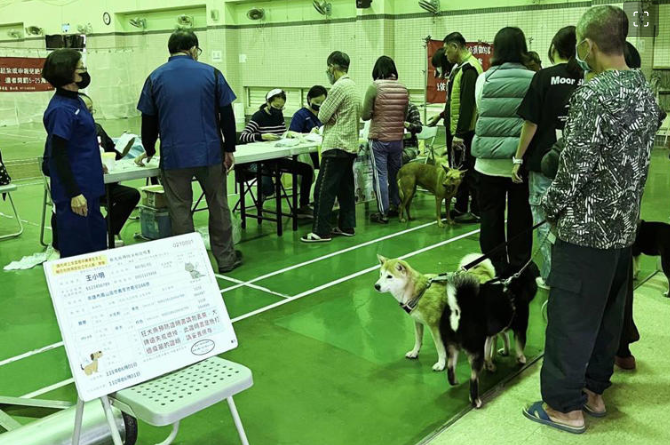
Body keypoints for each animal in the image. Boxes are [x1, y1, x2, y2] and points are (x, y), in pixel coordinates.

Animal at [438, 258, 544, 408]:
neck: (512, 281)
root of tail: (457, 310)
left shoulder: (491, 334)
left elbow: (495, 345)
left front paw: (494, 361)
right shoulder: (520, 327)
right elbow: (519, 345)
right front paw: (521, 359)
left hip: (451, 347)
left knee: (450, 369)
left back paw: (455, 381)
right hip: (476, 352)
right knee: (473, 379)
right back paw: (475, 400)